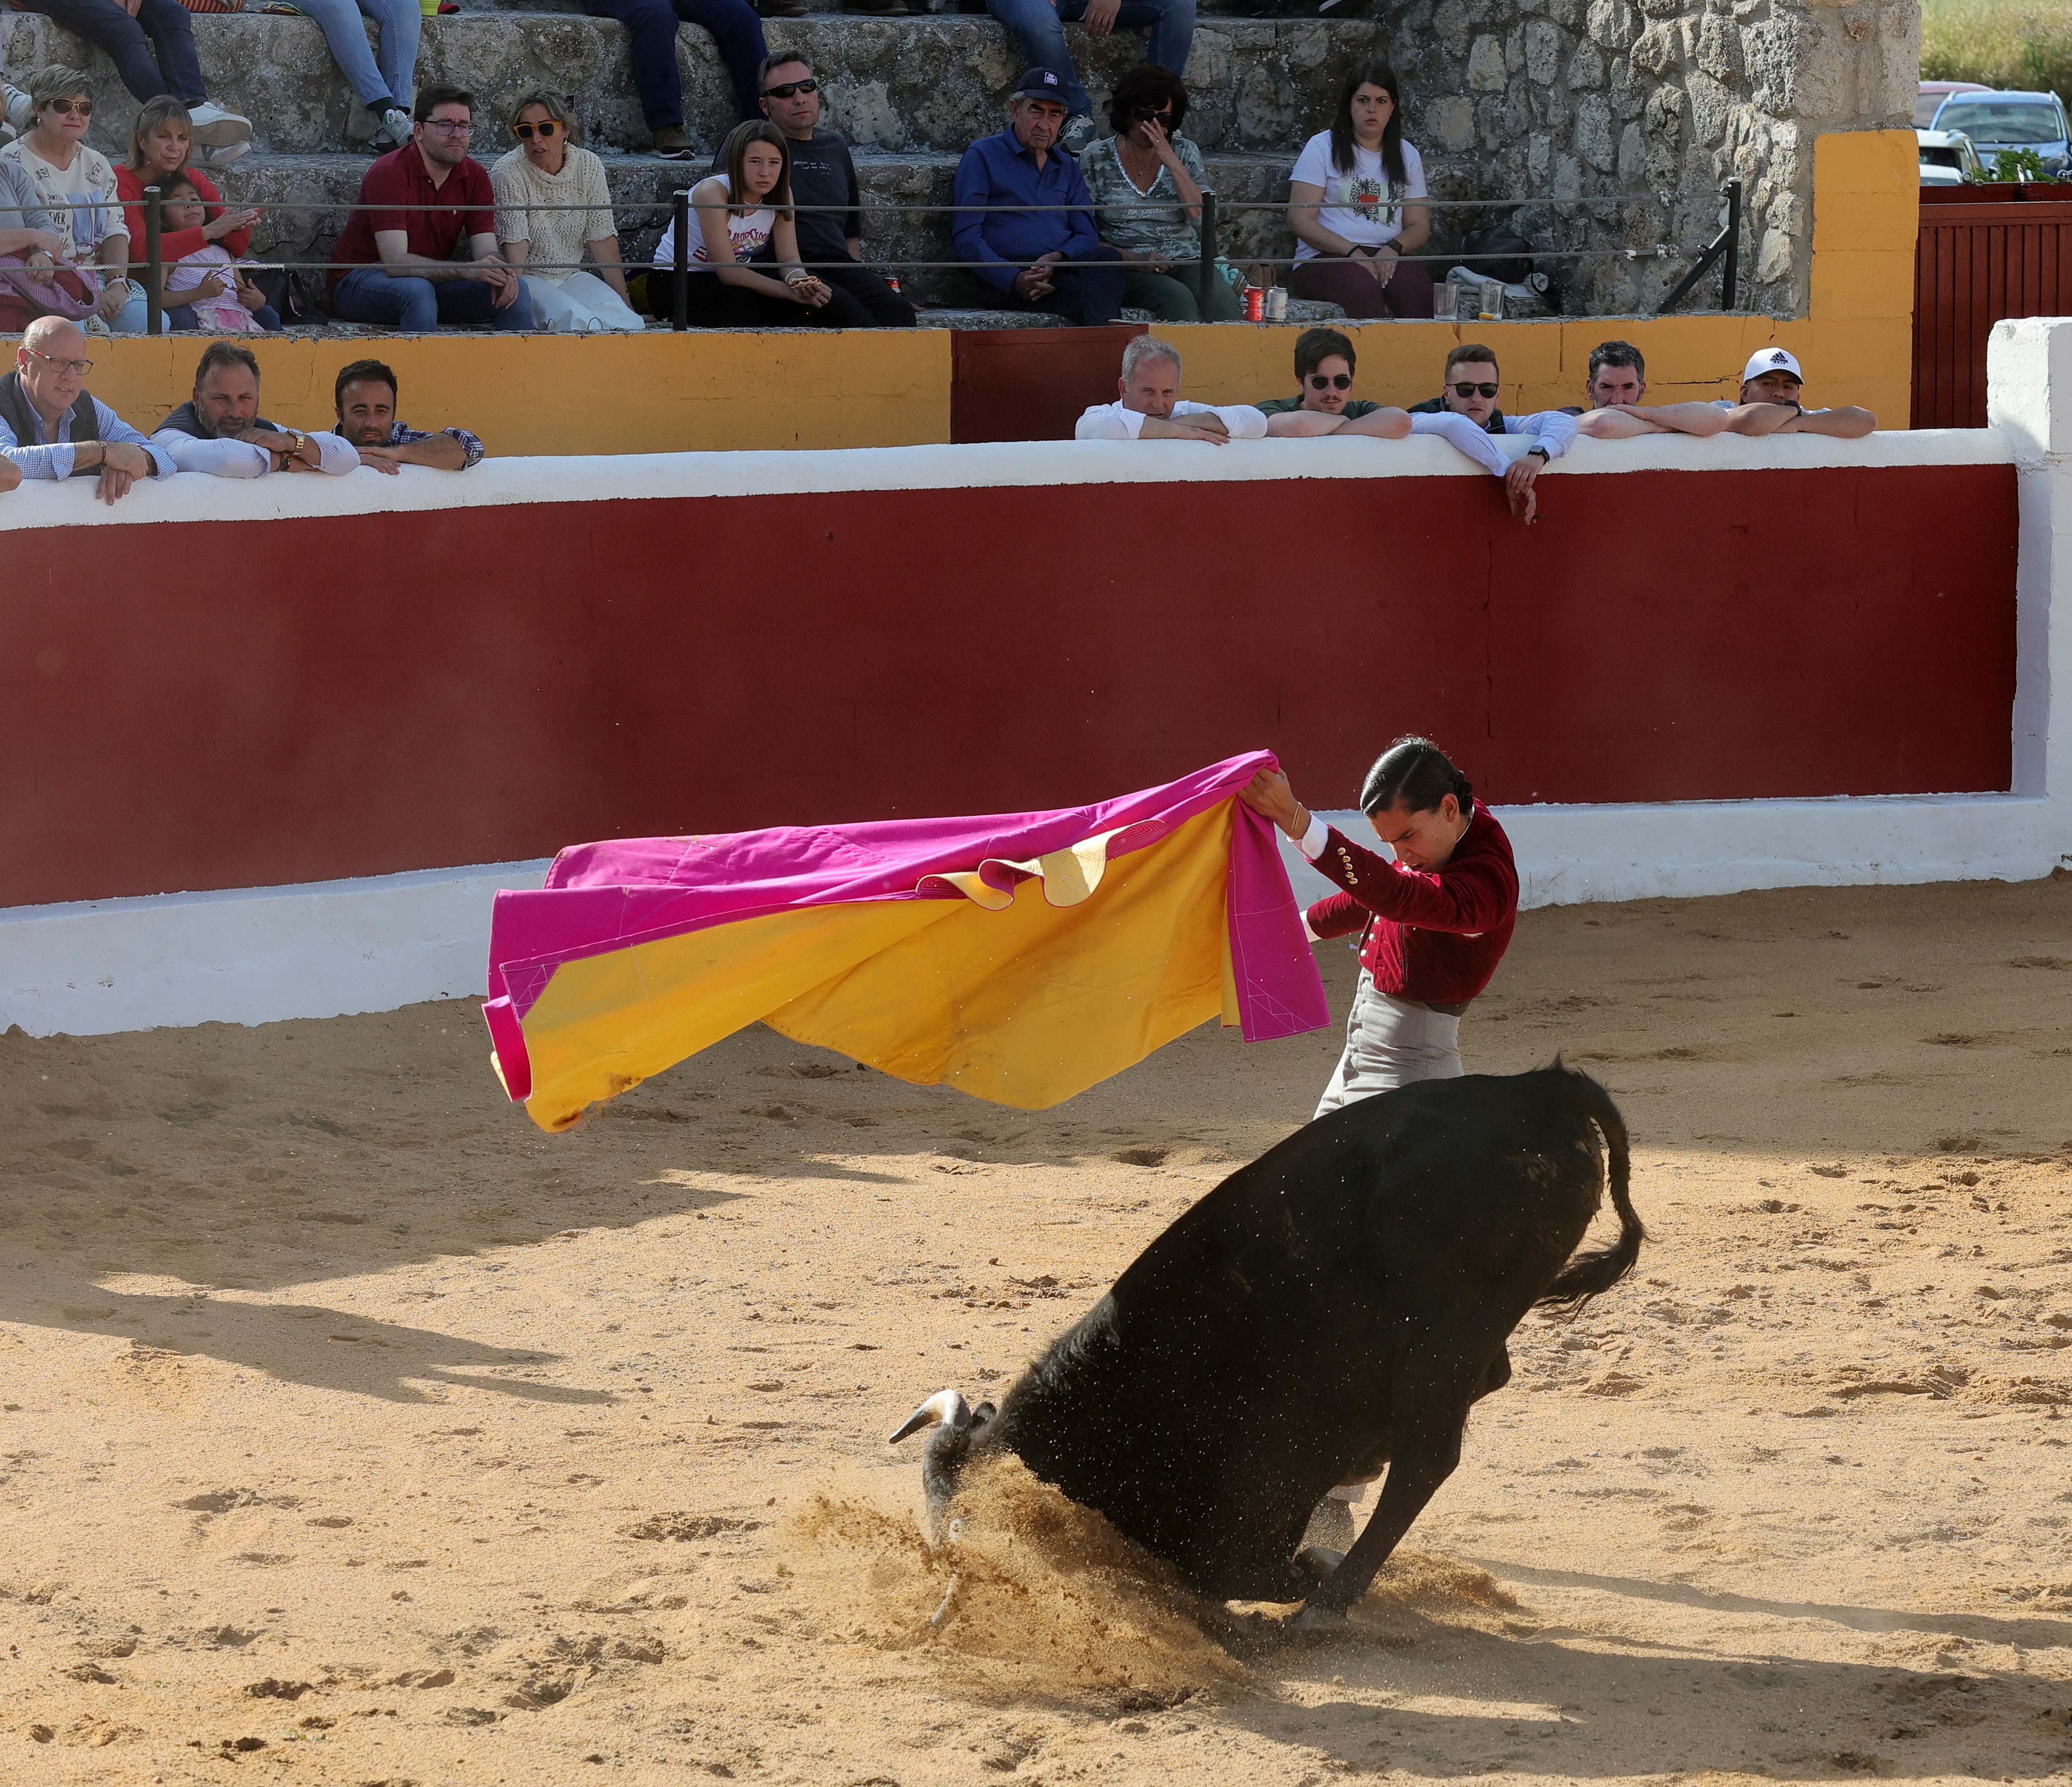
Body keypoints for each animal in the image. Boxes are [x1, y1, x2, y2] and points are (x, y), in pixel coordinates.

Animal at [899, 1069, 1641, 1633]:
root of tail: (1539, 1085)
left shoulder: (1248, 1523)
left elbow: (1256, 1569)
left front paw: (1315, 1572)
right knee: (1482, 1386)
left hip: (1444, 1338)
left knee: (1427, 1459)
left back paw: (1327, 1606)